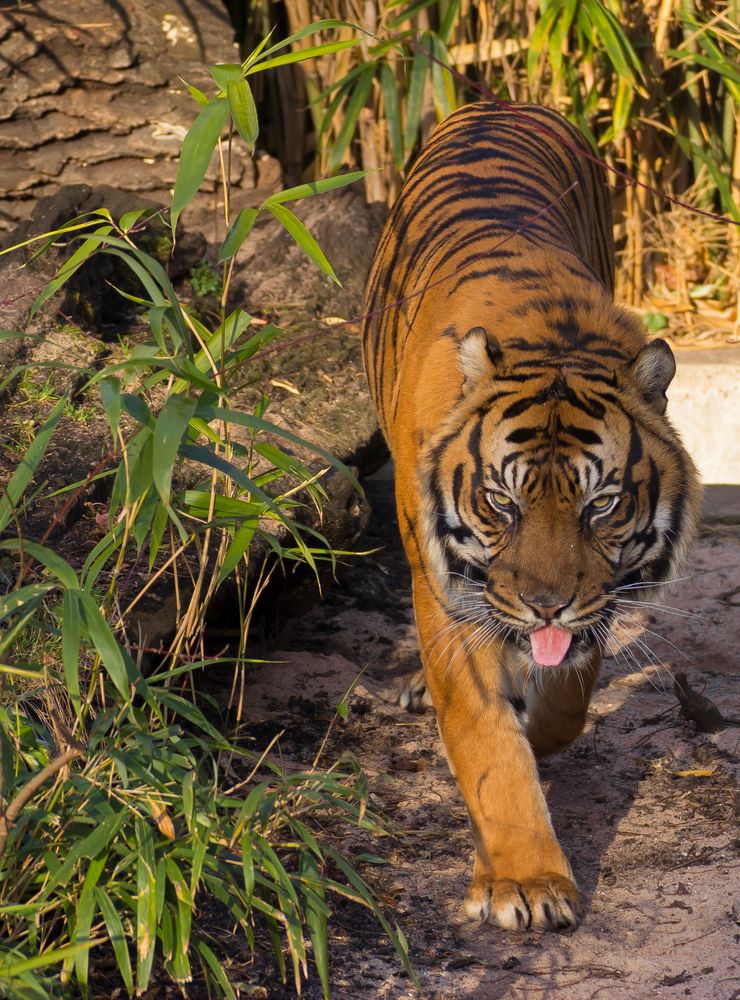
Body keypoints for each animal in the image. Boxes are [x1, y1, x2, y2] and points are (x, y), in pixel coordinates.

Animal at [362, 101, 704, 928]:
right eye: (501, 503)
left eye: (600, 504)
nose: (545, 605)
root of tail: (501, 102)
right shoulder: (449, 591)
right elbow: (487, 743)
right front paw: (525, 881)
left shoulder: (595, 595)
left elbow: (568, 696)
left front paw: (541, 719)